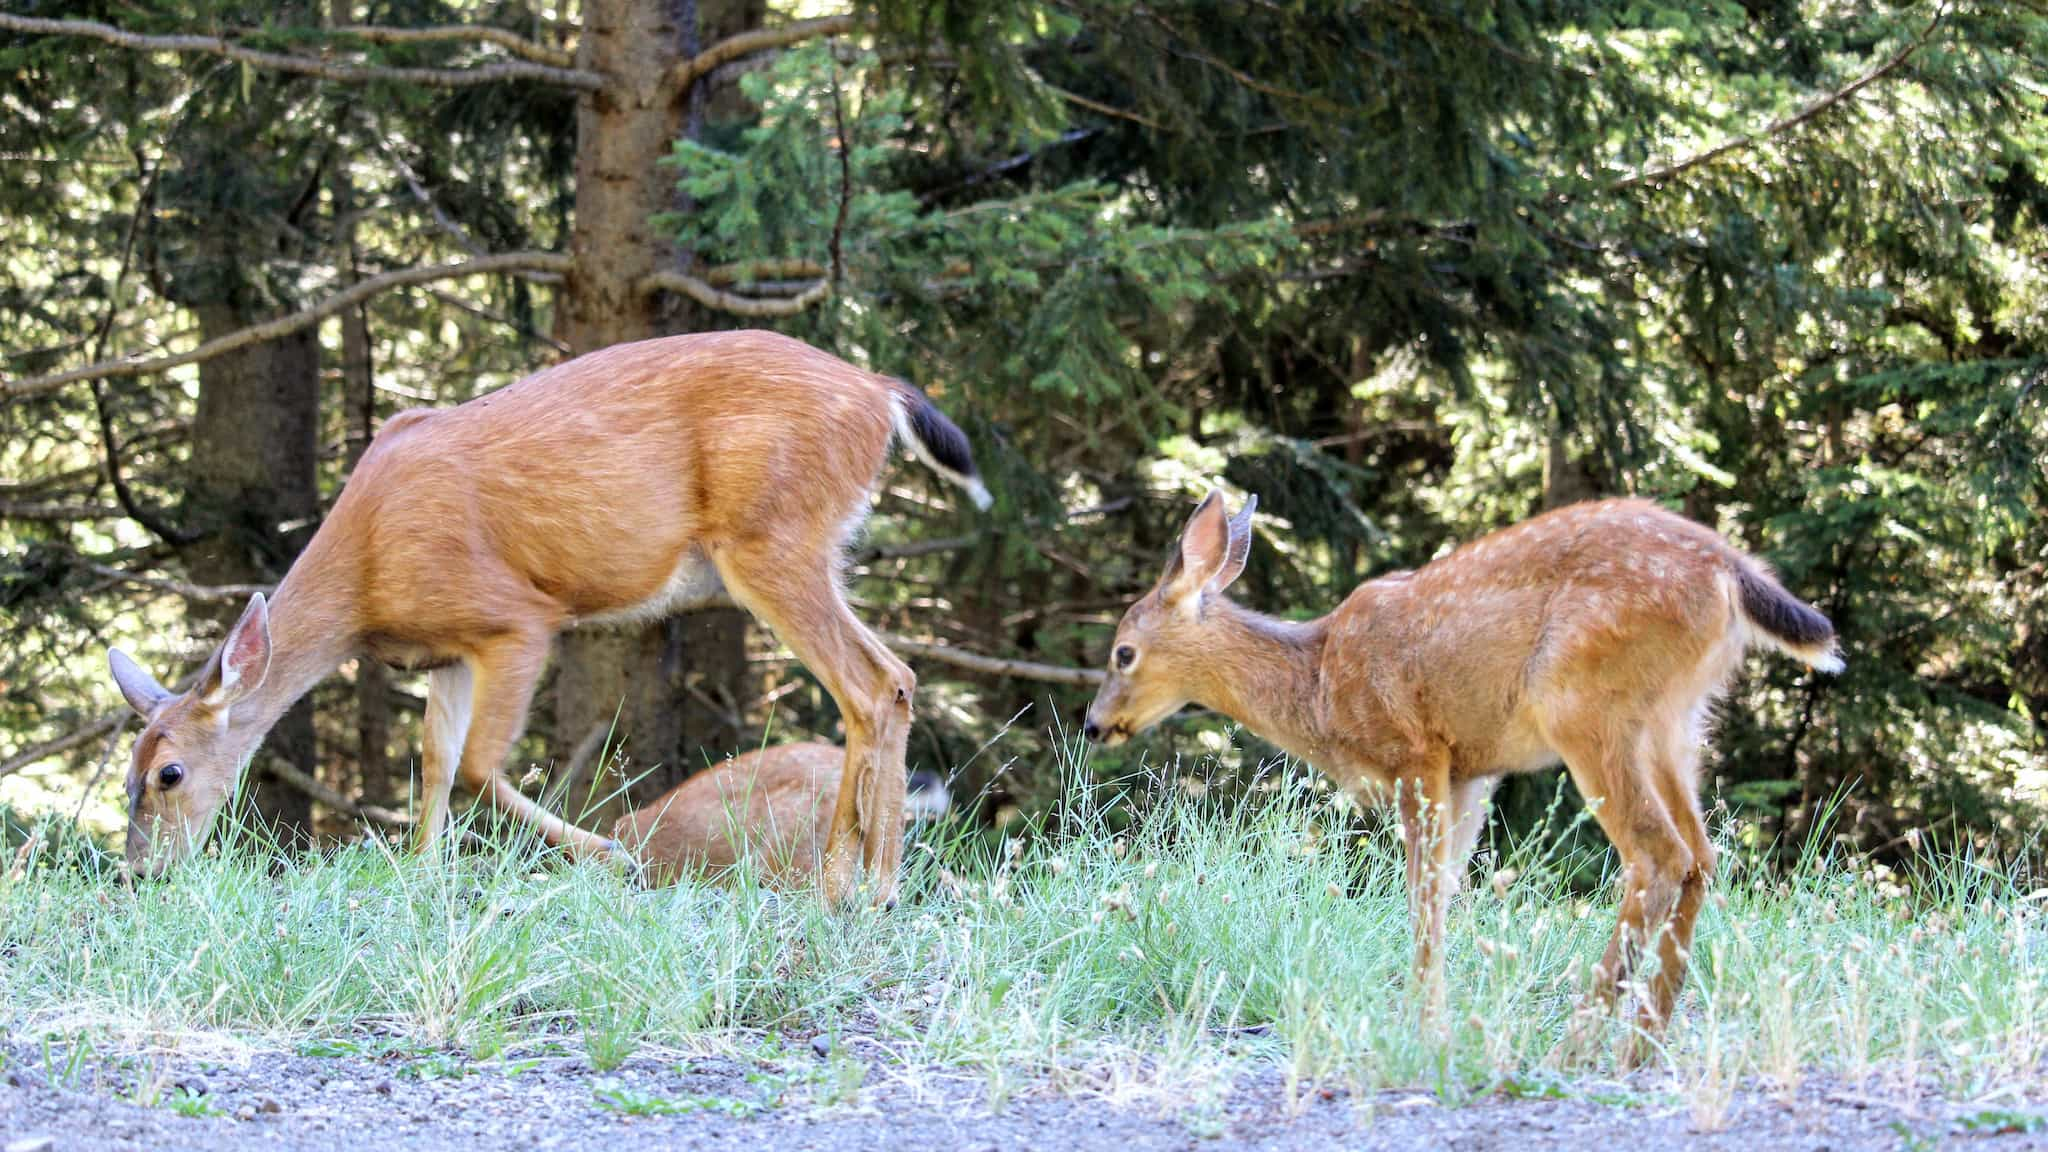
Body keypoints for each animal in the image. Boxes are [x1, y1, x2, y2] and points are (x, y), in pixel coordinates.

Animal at [1089, 487, 1843, 1037]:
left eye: (1123, 652)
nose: (1095, 724)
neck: (1320, 687)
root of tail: (1730, 572)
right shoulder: (1472, 771)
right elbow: (1448, 890)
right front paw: (1430, 1010)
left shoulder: (1415, 750)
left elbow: (1423, 894)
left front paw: (1423, 1023)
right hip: (1675, 722)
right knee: (1703, 857)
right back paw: (1642, 1045)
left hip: (1585, 702)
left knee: (1659, 856)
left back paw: (1579, 1044)